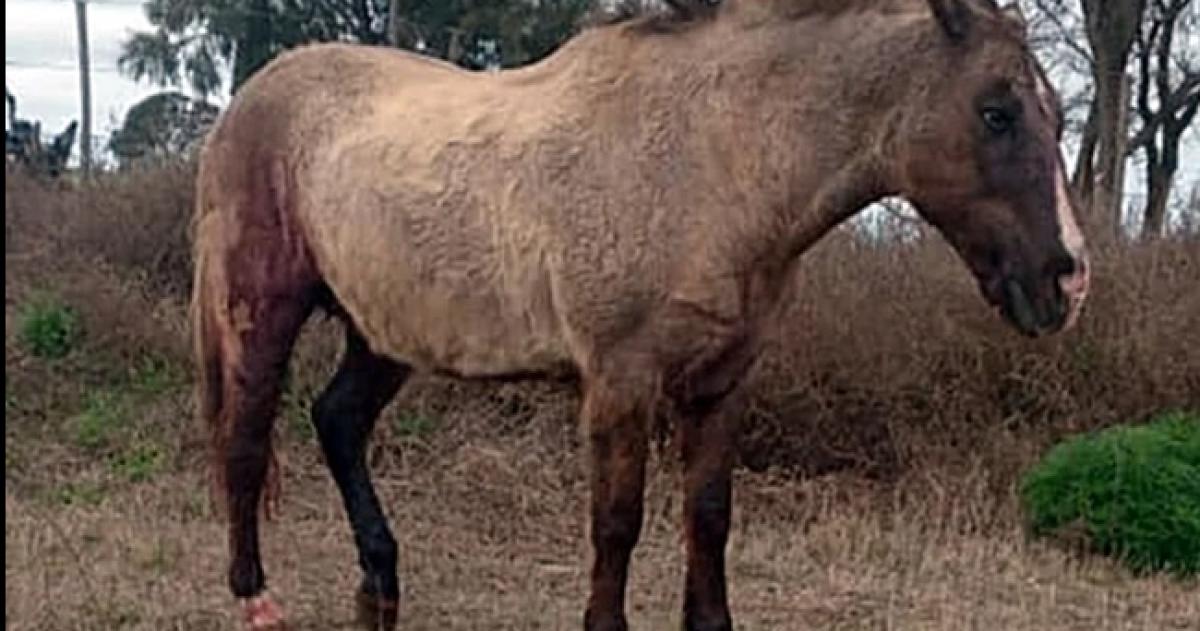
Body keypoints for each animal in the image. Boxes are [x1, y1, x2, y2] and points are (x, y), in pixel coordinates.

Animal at [191, 0, 1090, 629]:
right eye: (997, 111)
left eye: (1055, 113)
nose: (1069, 279)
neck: (707, 163)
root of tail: (248, 101)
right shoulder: (621, 385)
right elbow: (617, 526)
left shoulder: (721, 384)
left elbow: (709, 518)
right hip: (262, 309)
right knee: (246, 438)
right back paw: (254, 596)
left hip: (383, 330)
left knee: (337, 420)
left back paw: (379, 582)